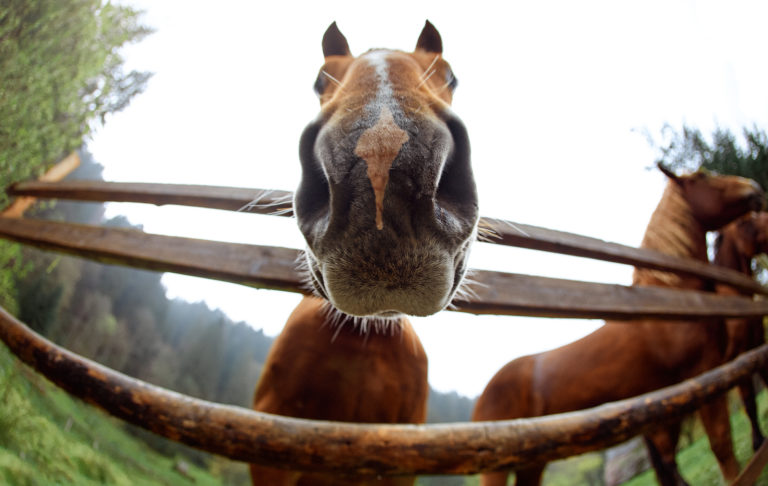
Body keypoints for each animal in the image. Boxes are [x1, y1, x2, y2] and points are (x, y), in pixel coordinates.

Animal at [471, 166, 764, 486]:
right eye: (703, 177)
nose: (754, 188)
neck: (672, 302)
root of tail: (482, 394)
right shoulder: (703, 375)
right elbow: (722, 443)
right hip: (496, 466)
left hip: (533, 459)